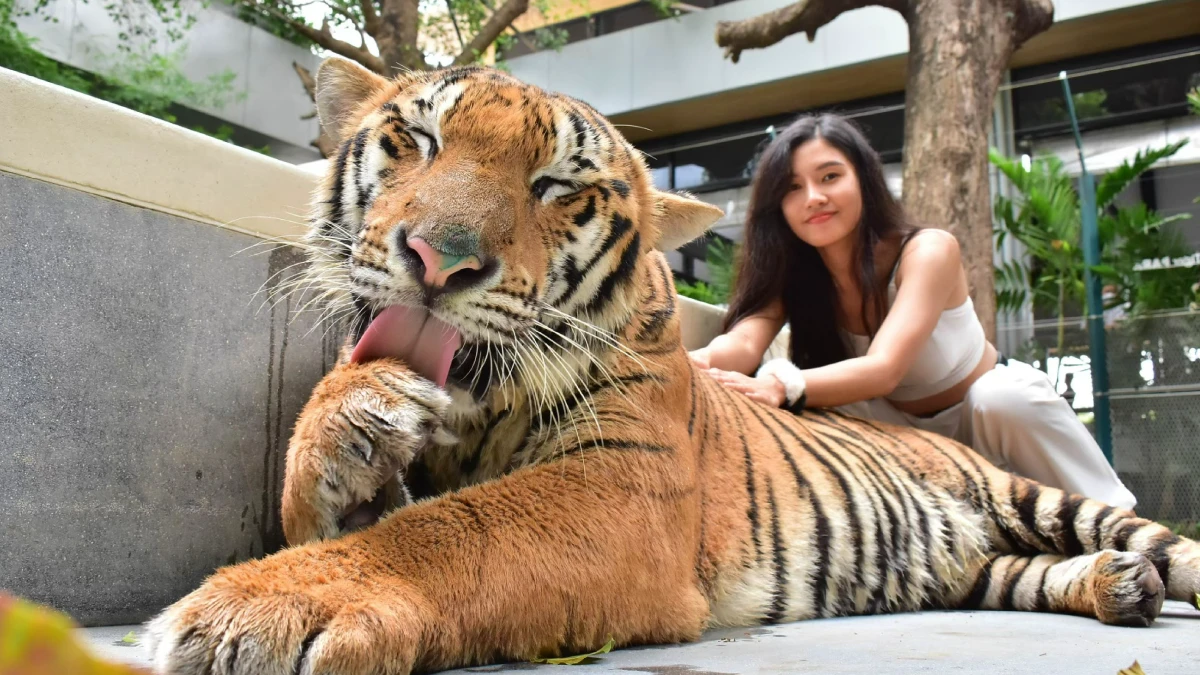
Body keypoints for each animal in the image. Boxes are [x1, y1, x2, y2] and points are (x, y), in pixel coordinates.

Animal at [146, 57, 1200, 674]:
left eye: (557, 187)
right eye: (416, 139)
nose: (438, 260)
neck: (483, 406)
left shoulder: (625, 489)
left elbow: (452, 529)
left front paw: (259, 607)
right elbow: (333, 485)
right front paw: (356, 419)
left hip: (1036, 494)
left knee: (1156, 539)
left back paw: (1138, 571)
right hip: (970, 567)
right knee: (1023, 571)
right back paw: (1115, 588)